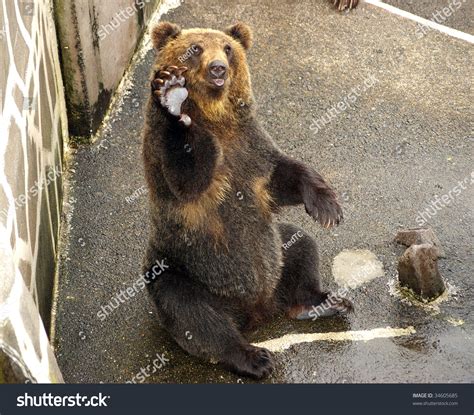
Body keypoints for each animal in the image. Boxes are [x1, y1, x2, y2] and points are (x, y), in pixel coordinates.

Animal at [141, 22, 352, 380]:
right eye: (195, 48)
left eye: (228, 48)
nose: (218, 68)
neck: (215, 117)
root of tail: (258, 312)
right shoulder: (166, 157)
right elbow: (188, 179)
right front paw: (172, 96)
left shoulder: (250, 146)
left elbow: (282, 176)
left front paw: (327, 207)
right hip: (181, 268)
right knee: (192, 312)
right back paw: (252, 357)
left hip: (274, 252)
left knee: (301, 247)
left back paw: (323, 303)